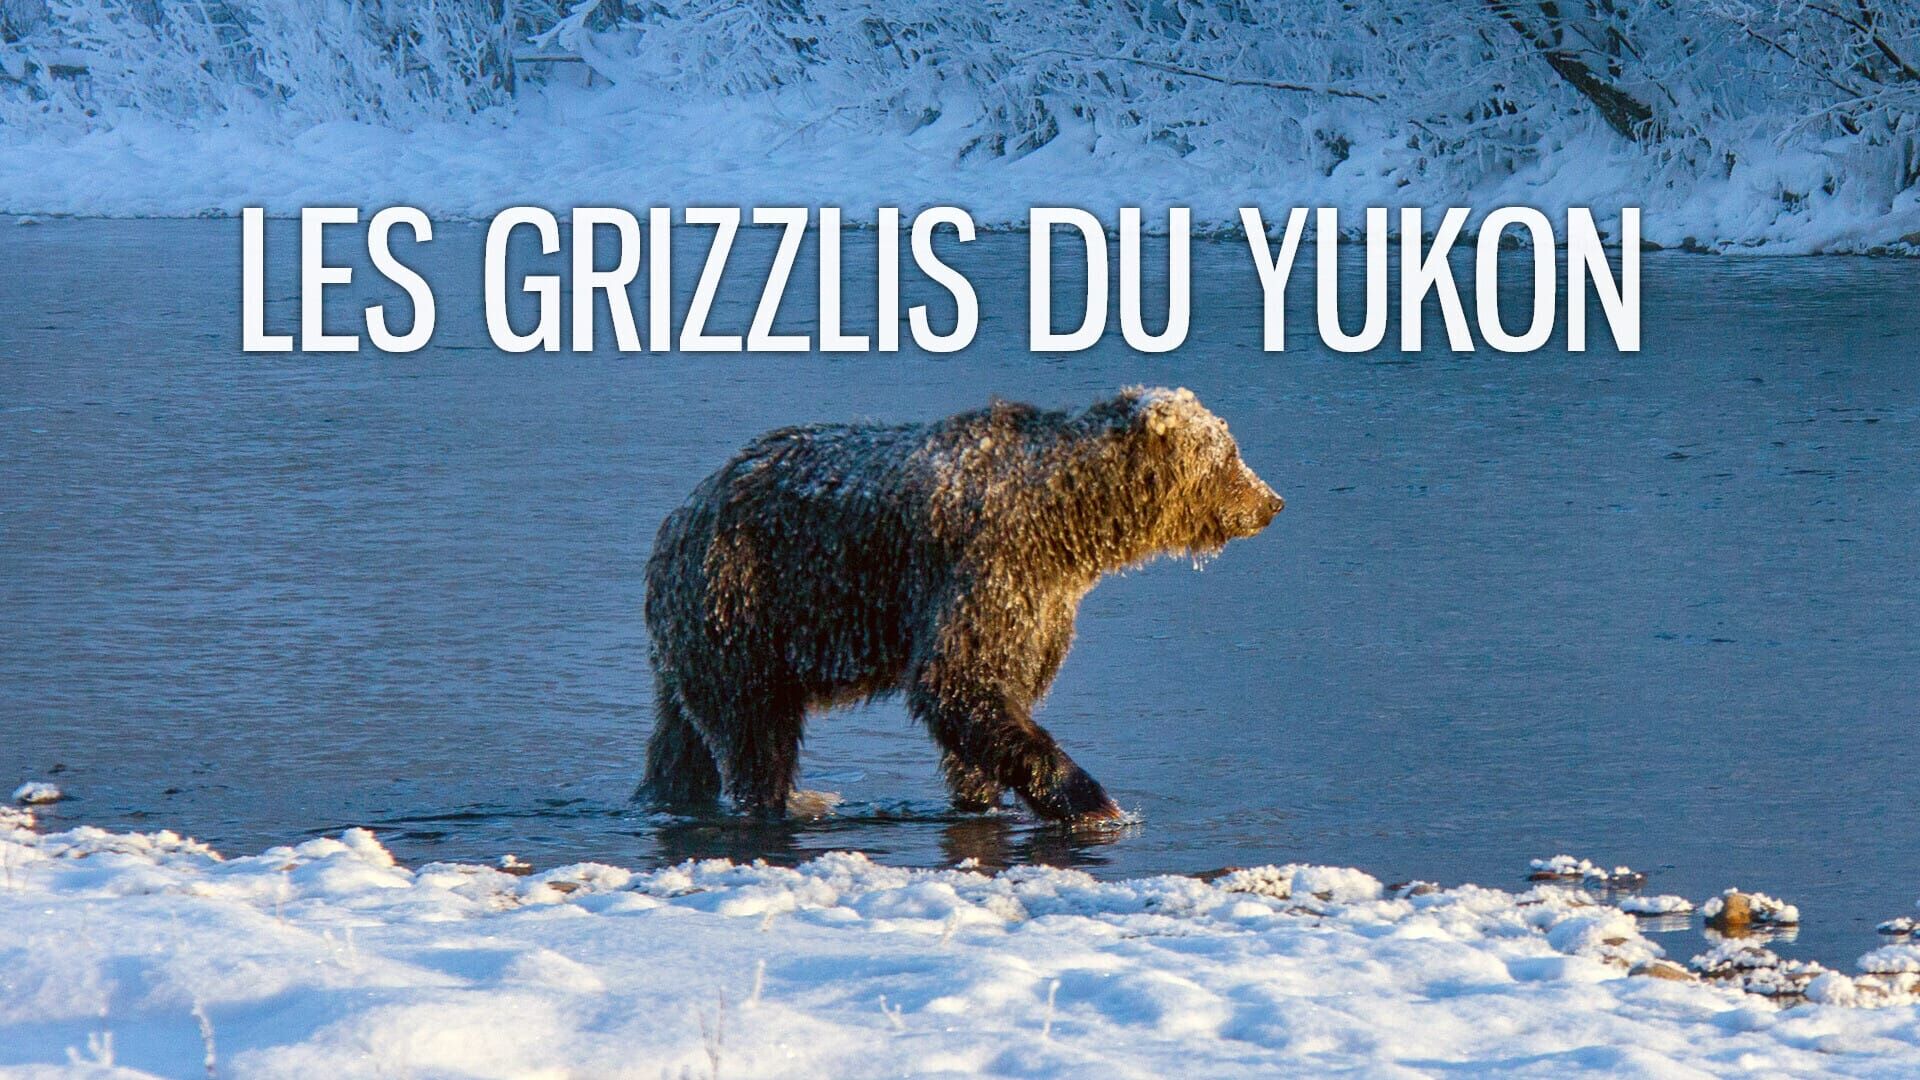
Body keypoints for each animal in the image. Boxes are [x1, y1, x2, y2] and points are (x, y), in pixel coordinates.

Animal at [638, 386, 1284, 822]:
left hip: (706, 634)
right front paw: (1094, 801)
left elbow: (994, 701)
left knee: (683, 740)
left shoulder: (1043, 605)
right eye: (1228, 454)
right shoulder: (988, 565)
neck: (1068, 525)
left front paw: (984, 795)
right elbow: (957, 680)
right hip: (748, 602)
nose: (1271, 501)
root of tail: (679, 515)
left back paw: (668, 795)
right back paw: (771, 800)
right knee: (754, 733)